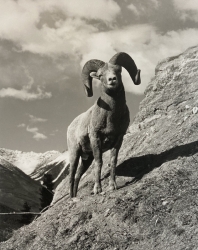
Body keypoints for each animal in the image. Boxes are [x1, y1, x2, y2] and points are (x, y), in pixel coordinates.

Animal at [67, 52, 140, 197]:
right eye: (100, 75)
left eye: (118, 70)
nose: (112, 79)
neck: (110, 117)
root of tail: (70, 127)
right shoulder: (96, 138)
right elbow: (99, 162)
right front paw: (97, 189)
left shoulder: (118, 138)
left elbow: (113, 161)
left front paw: (112, 186)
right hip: (75, 153)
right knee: (72, 176)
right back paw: (72, 197)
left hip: (86, 158)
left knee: (78, 176)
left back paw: (75, 196)